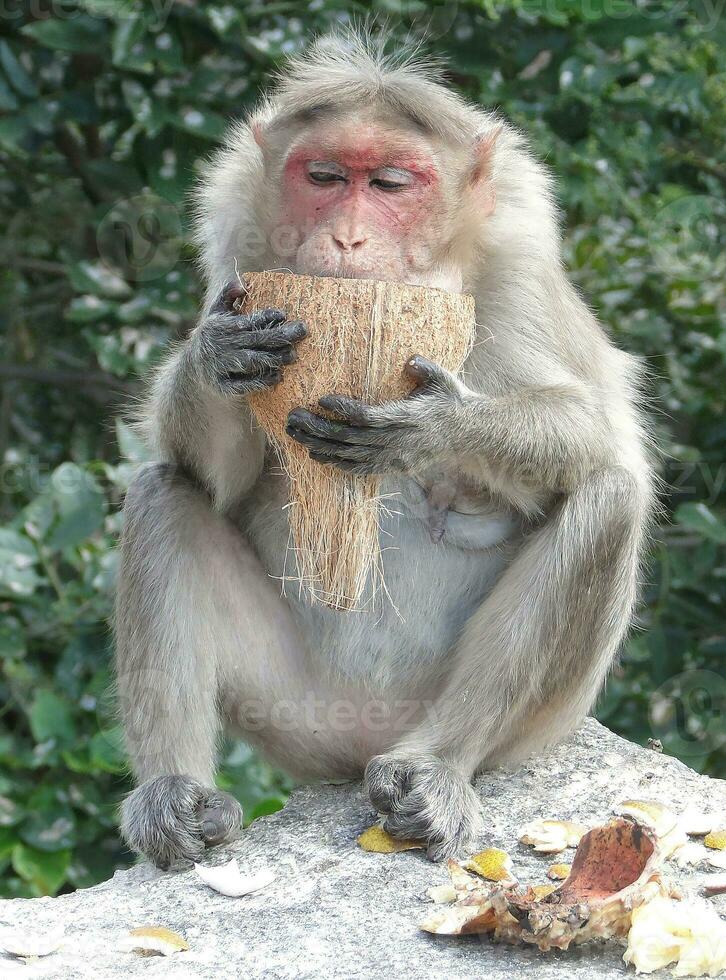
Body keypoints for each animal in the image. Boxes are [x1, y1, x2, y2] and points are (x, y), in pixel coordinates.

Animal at [116, 34, 656, 868]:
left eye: (394, 183)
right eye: (325, 177)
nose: (348, 237)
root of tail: (364, 737)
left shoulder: (523, 263)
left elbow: (594, 430)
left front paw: (433, 426)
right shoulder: (239, 255)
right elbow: (213, 471)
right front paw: (216, 356)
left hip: (505, 726)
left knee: (607, 496)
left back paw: (434, 768)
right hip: (295, 713)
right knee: (163, 492)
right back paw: (176, 794)